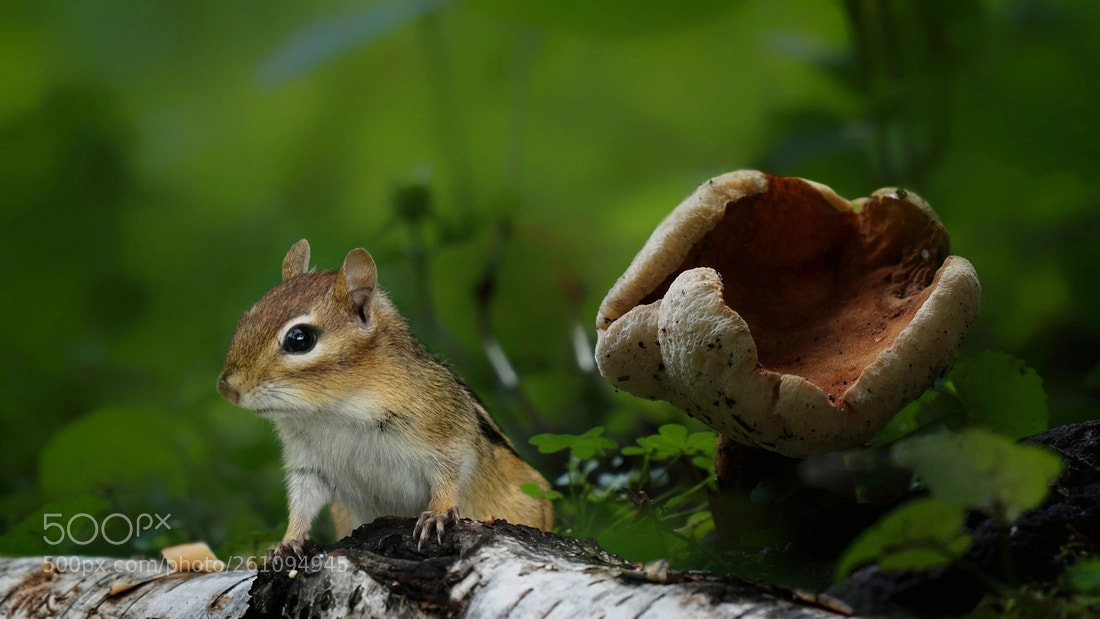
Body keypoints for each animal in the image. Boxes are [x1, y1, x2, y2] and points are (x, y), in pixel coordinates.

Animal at [216, 239, 553, 553]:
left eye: (299, 339)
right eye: (247, 317)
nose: (227, 388)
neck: (334, 411)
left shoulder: (448, 431)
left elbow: (451, 473)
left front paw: (437, 514)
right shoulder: (309, 467)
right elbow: (302, 503)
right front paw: (288, 542)